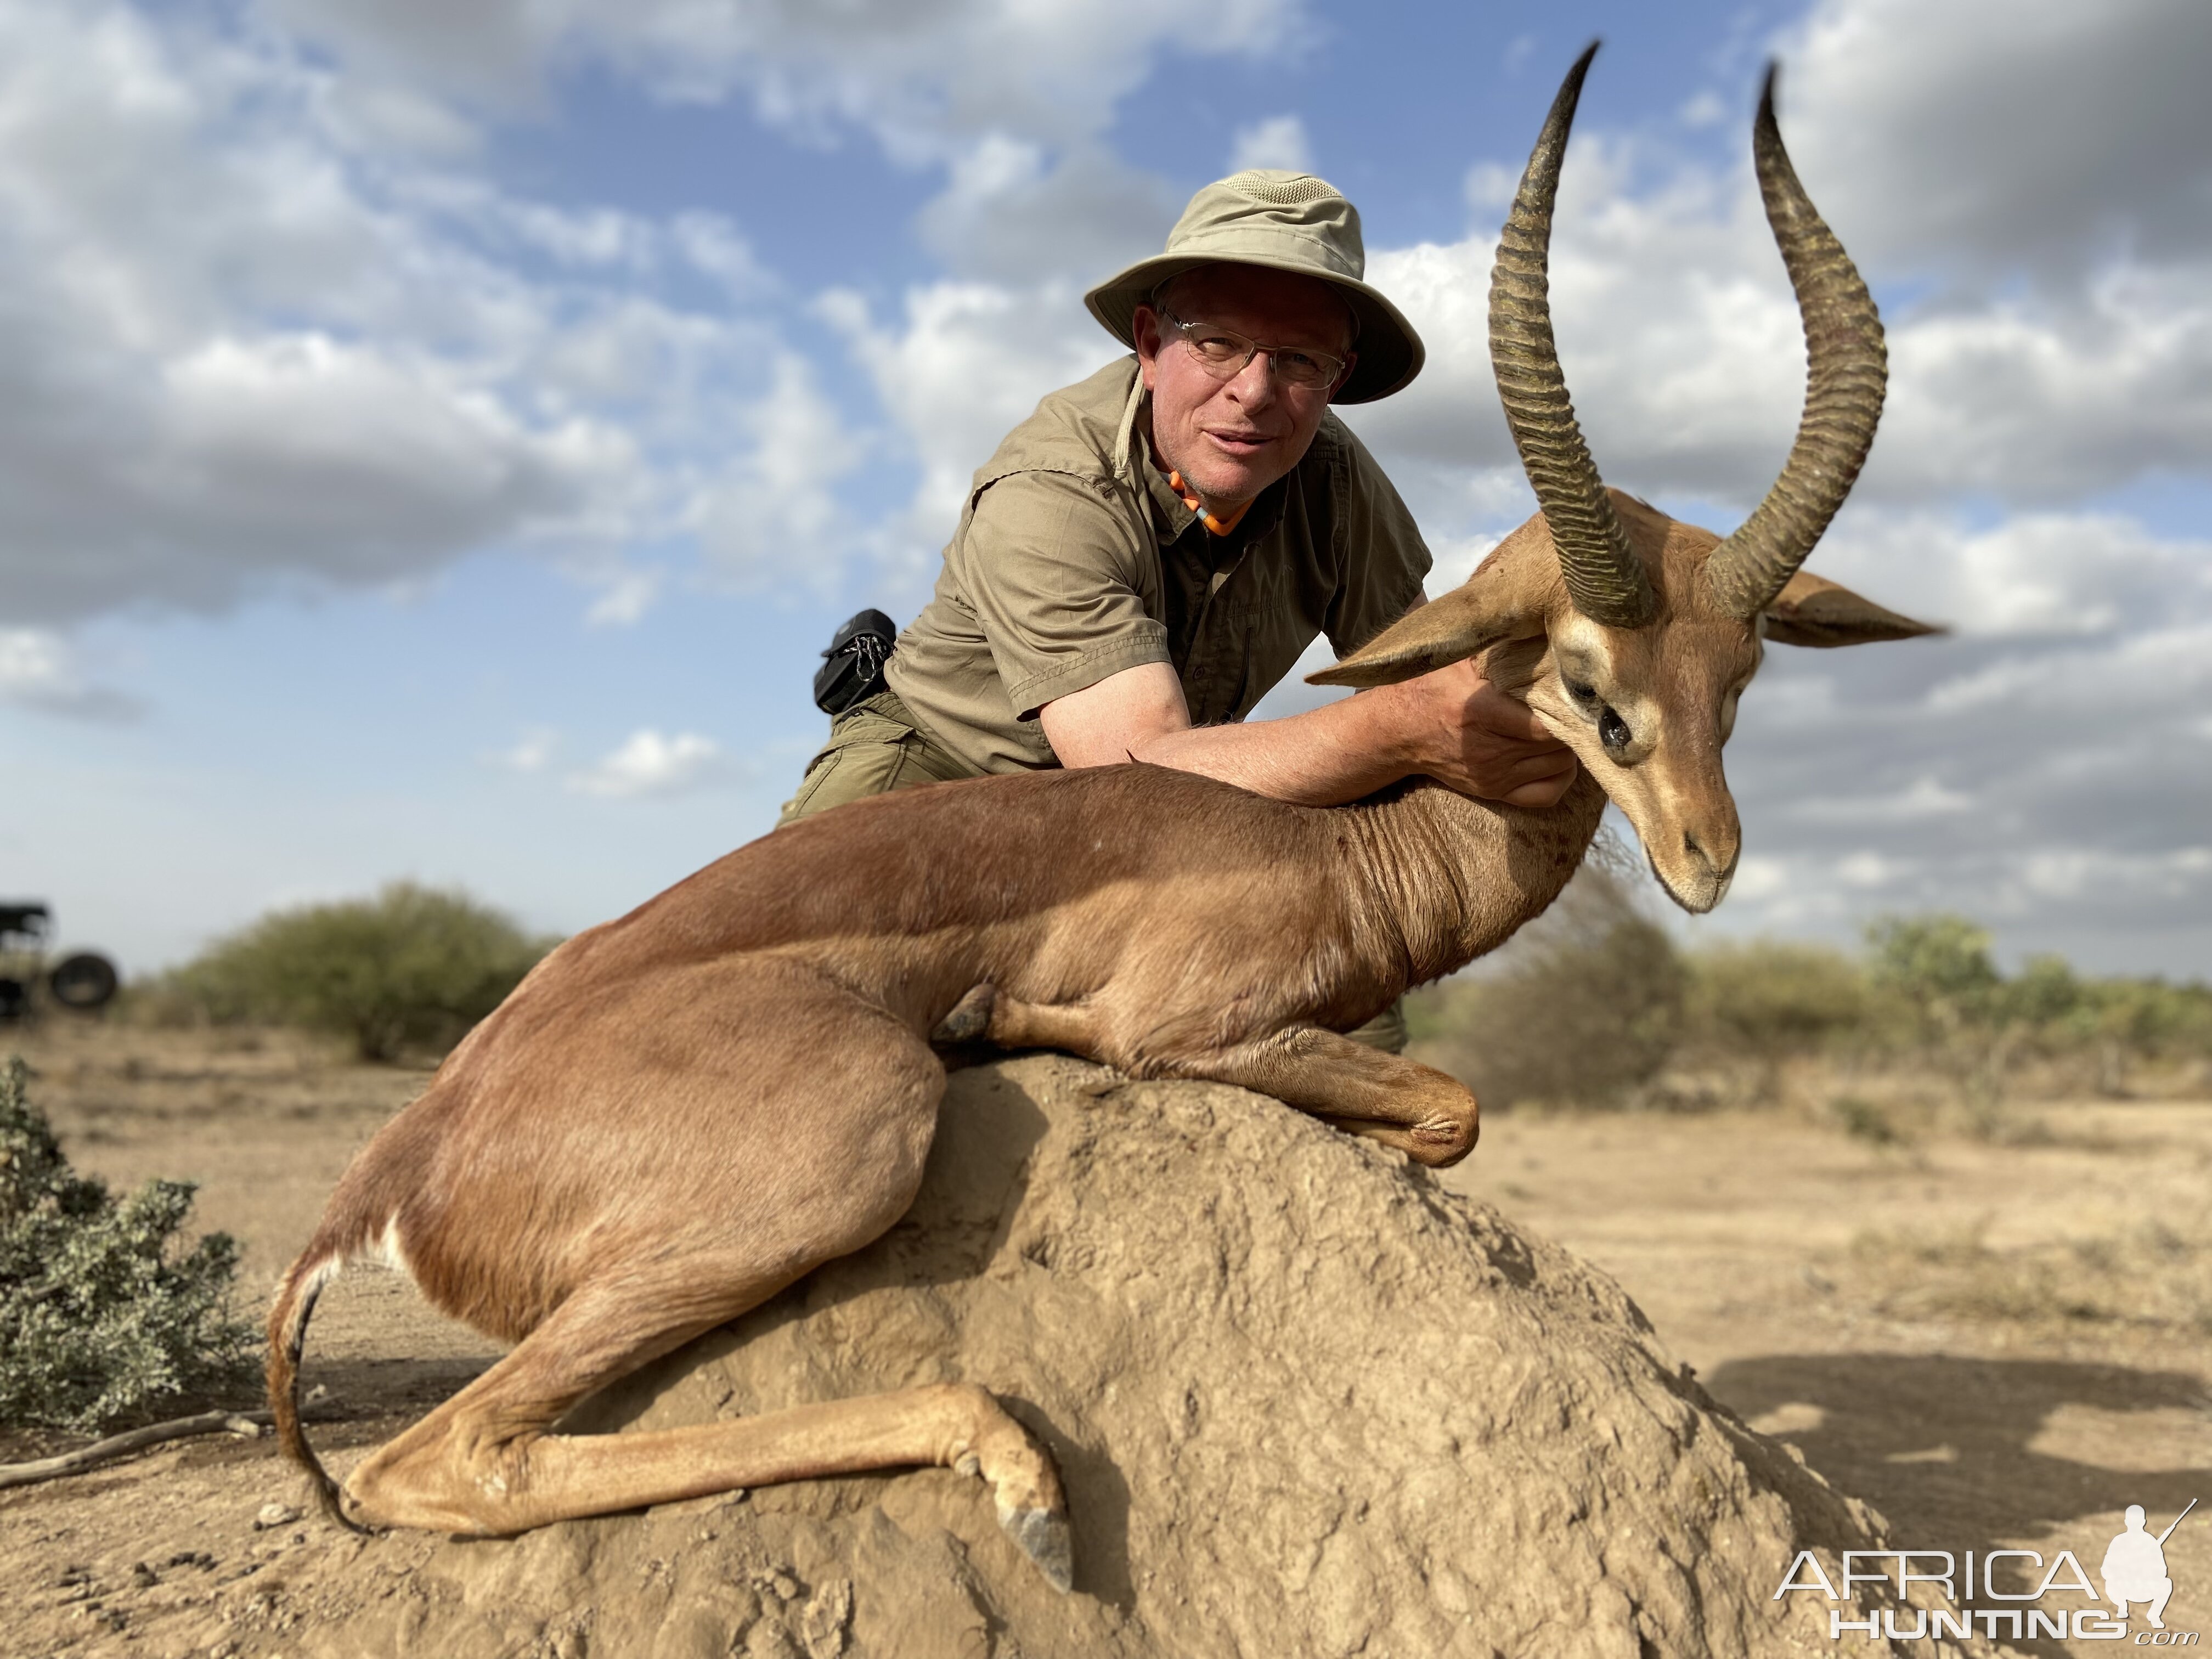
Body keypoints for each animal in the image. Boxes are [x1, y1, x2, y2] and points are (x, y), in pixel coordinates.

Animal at [272, 45, 1938, 1593]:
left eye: (1742, 675)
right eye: (1588, 682)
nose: (1706, 860)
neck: (1348, 851)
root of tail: (392, 1173)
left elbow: (1447, 1116)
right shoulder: (1205, 1026)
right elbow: (1445, 1104)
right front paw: (1035, 1021)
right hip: (855, 1134)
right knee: (442, 1458)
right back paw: (1023, 1476)